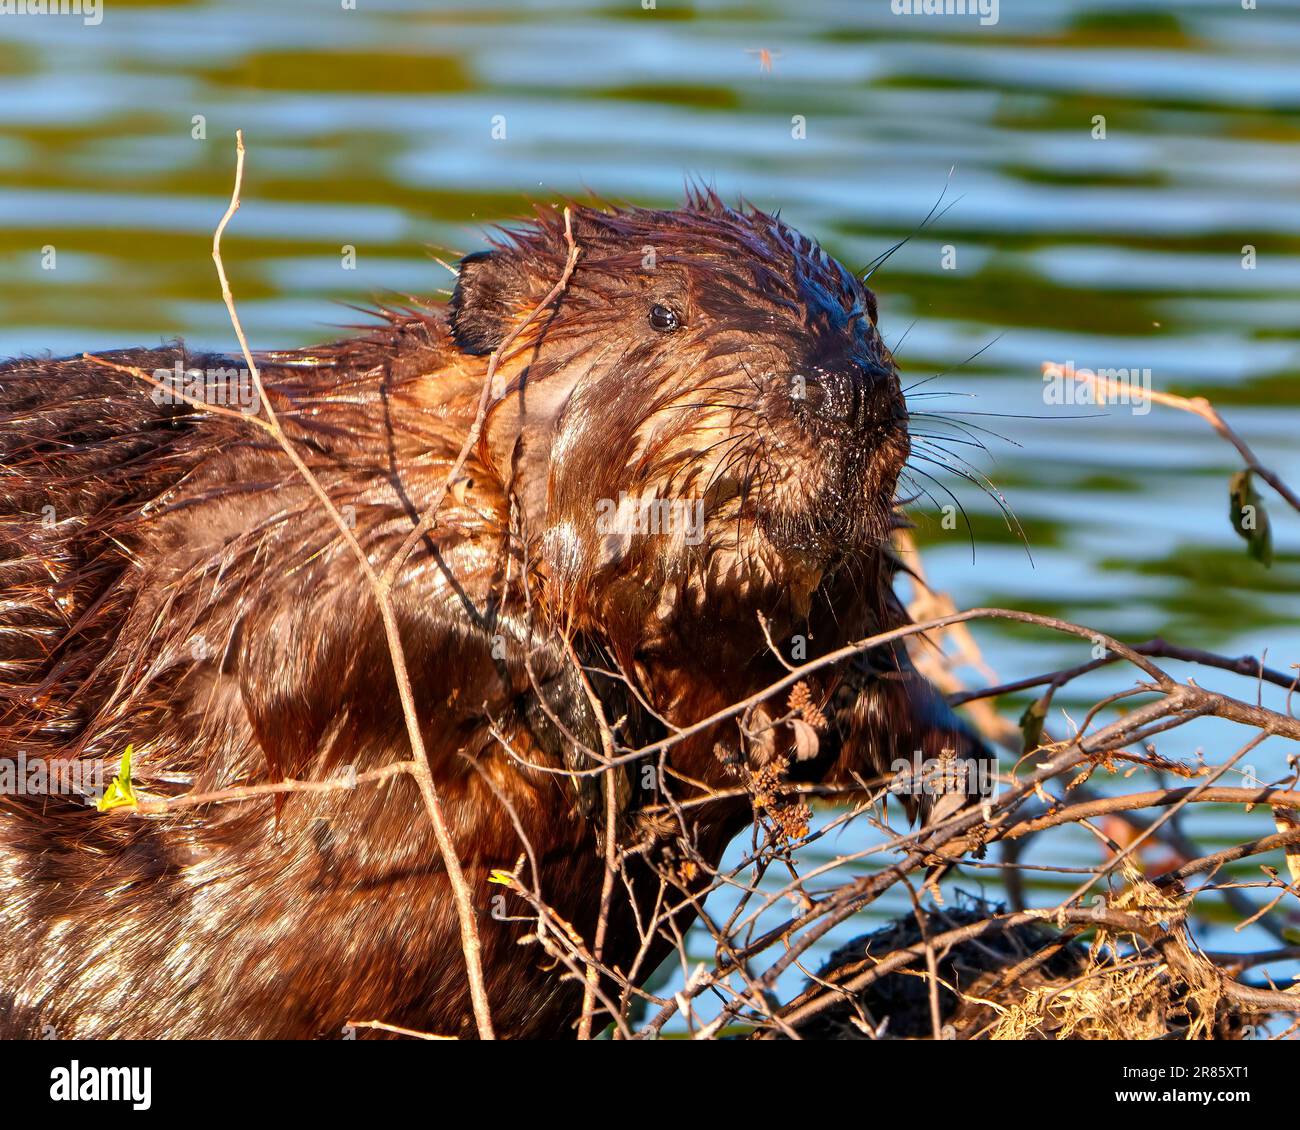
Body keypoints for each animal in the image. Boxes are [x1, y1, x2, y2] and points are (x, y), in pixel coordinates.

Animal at [0, 189, 987, 1035]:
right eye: (664, 314)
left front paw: (956, 770)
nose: (846, 389)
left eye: (865, 309)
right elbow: (314, 630)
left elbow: (858, 654)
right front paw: (594, 723)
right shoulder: (271, 514)